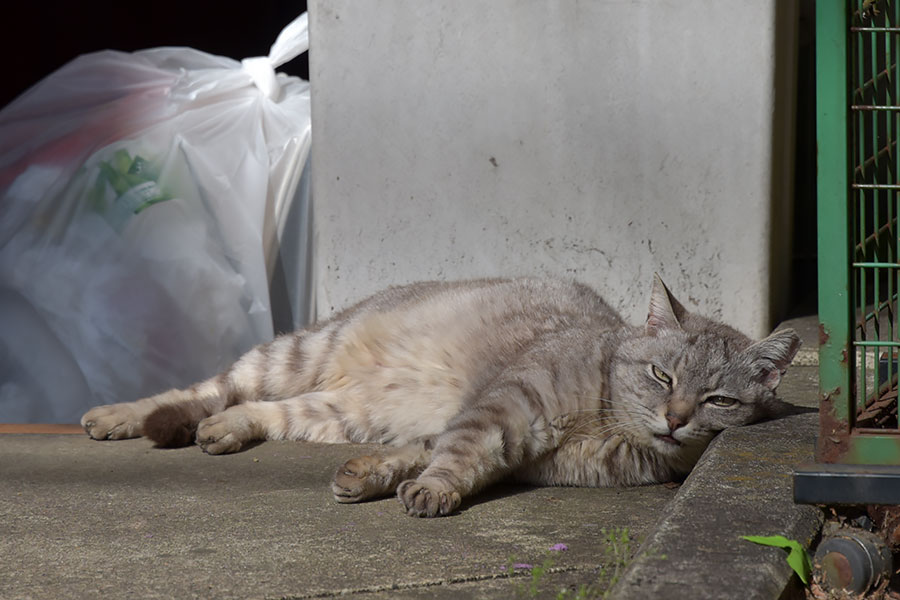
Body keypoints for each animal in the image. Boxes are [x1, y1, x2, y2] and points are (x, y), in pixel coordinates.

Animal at [82, 276, 800, 516]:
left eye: (718, 402)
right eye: (662, 377)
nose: (675, 420)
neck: (607, 427)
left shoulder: (513, 452)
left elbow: (425, 451)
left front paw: (378, 477)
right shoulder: (501, 407)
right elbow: (456, 453)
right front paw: (432, 490)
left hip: (334, 412)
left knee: (257, 411)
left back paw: (224, 430)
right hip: (294, 355)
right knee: (207, 387)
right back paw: (125, 416)